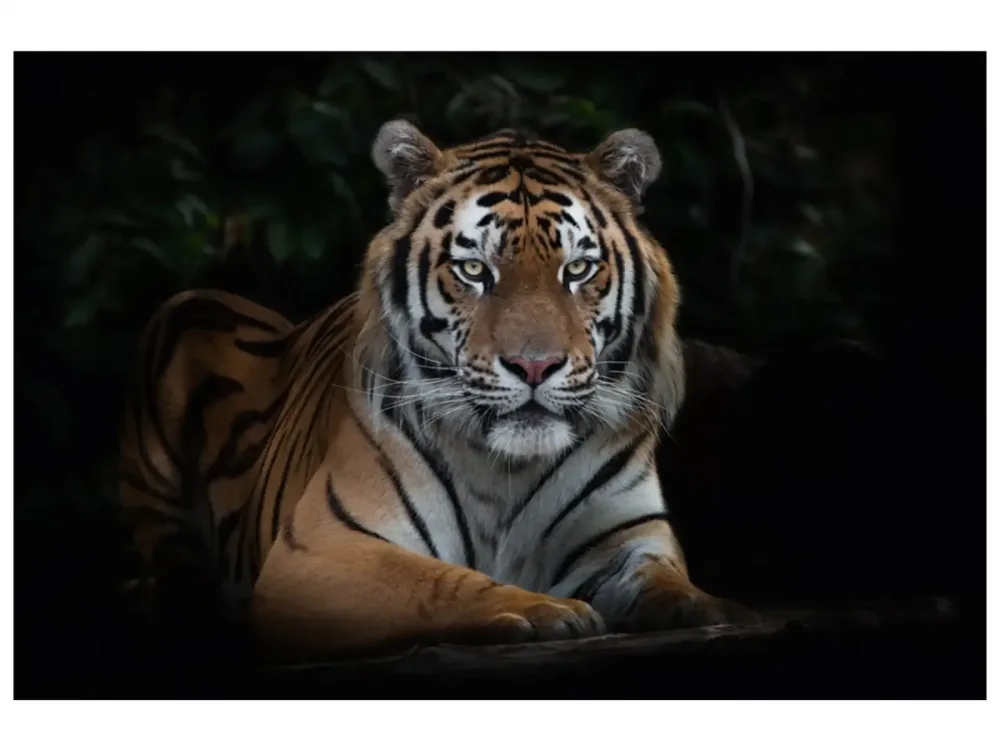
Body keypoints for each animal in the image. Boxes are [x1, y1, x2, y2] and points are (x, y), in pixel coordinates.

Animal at [119, 121, 758, 661]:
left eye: (577, 270)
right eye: (475, 271)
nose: (534, 366)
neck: (509, 470)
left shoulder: (628, 541)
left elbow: (671, 585)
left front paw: (715, 608)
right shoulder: (322, 549)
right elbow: (438, 581)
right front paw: (543, 609)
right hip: (187, 311)